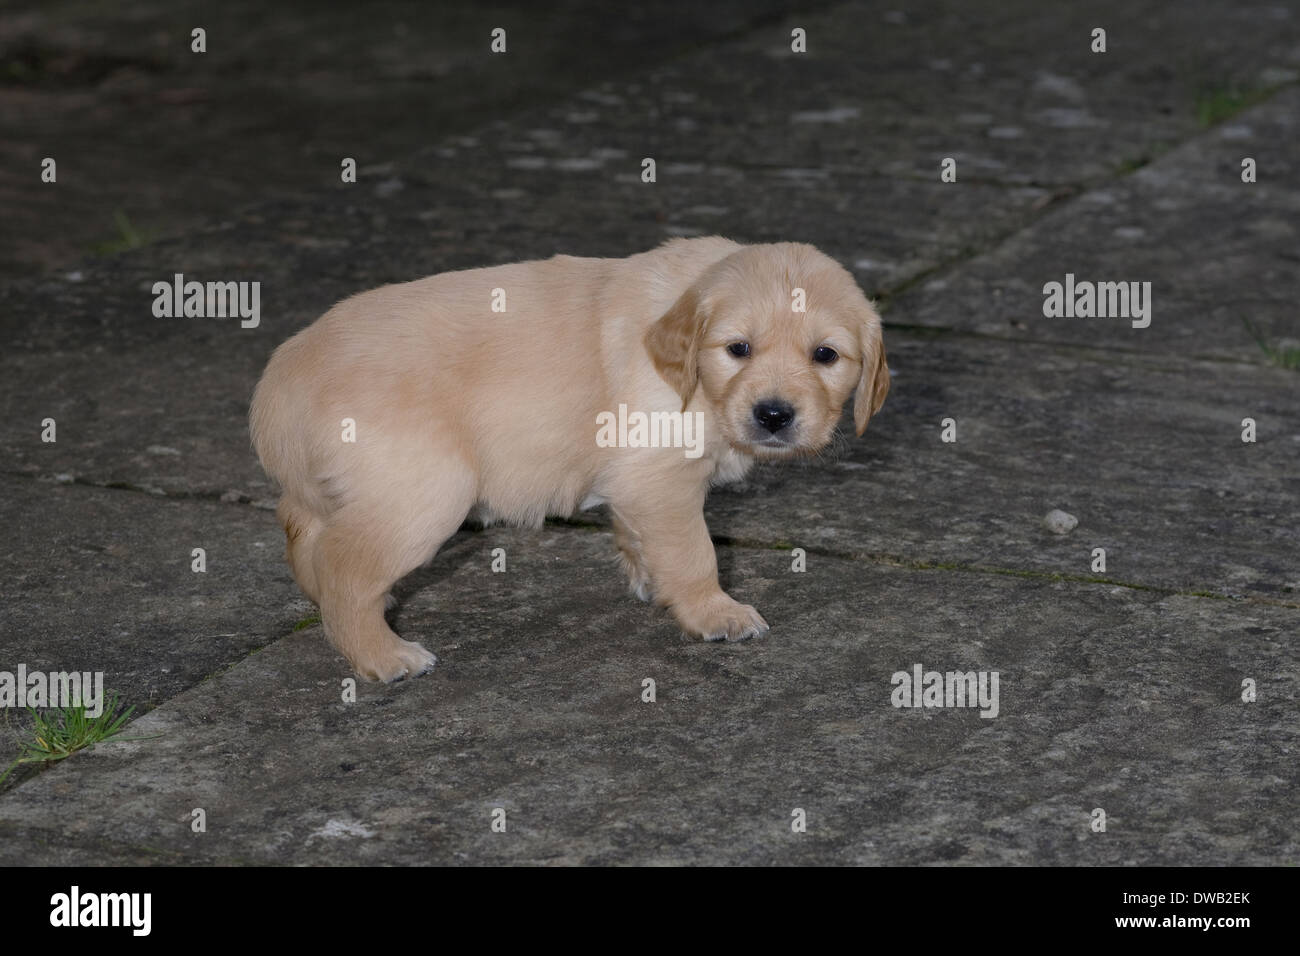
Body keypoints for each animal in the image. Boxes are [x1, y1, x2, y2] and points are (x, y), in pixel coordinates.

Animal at [248, 238, 889, 681]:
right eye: (738, 349)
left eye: (826, 355)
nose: (774, 415)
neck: (694, 380)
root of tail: (281, 380)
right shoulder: (661, 477)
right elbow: (695, 554)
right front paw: (715, 614)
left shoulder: (634, 484)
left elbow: (638, 536)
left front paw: (648, 580)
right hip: (424, 494)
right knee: (344, 568)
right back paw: (384, 654)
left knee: (305, 535)